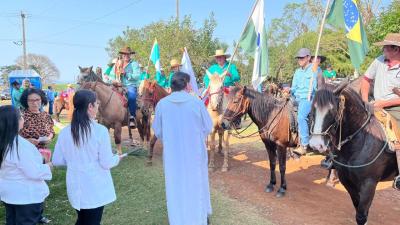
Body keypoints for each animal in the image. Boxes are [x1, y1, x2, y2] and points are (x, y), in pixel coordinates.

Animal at [310, 83, 396, 224]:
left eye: (332, 111)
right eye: (313, 108)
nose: (316, 145)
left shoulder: (369, 184)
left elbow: (361, 216)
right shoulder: (347, 180)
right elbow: (358, 208)